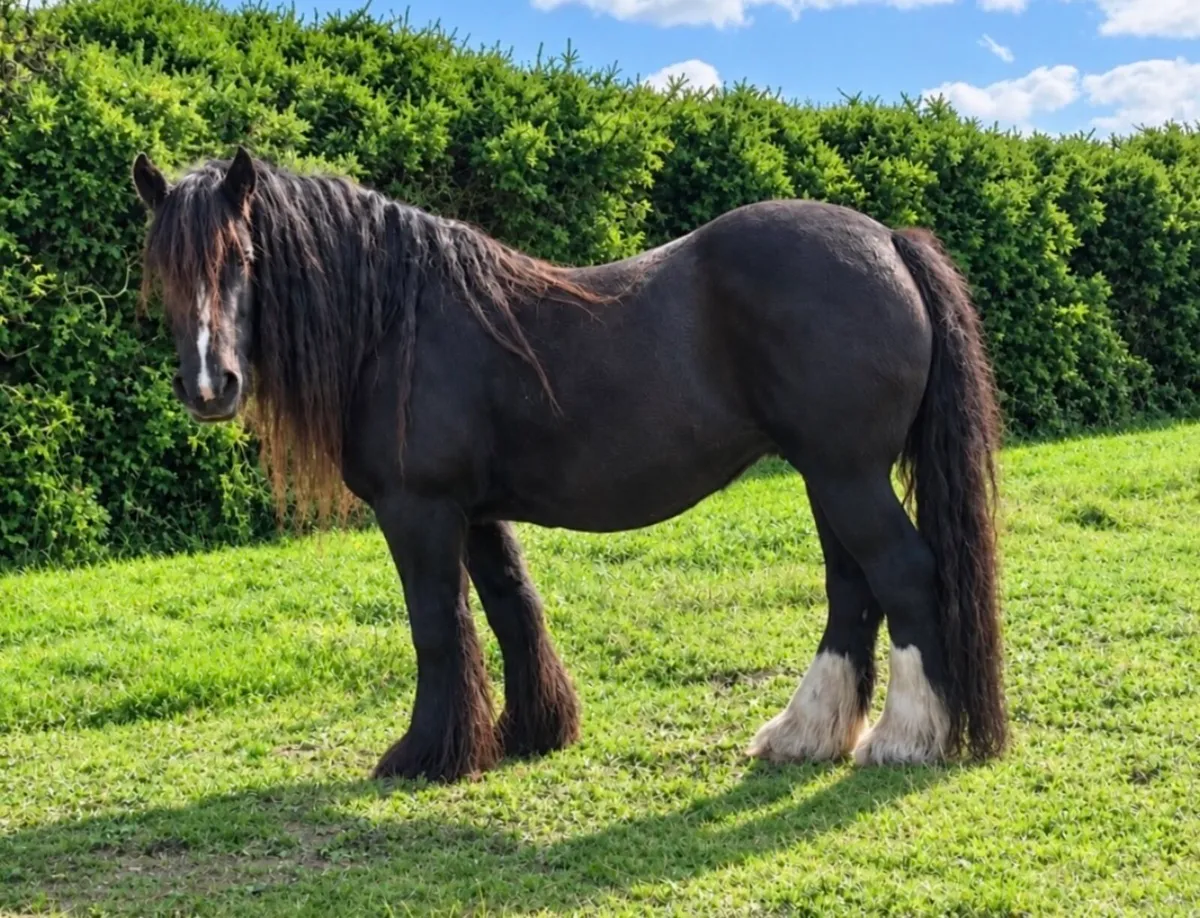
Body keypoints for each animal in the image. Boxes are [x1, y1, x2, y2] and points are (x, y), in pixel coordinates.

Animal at [132, 146, 1006, 783]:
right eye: (164, 270)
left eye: (244, 256)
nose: (210, 386)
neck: (399, 323)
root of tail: (888, 240)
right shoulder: (476, 513)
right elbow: (511, 609)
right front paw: (530, 733)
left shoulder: (420, 511)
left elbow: (438, 628)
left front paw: (426, 756)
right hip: (827, 476)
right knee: (851, 589)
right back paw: (805, 734)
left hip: (846, 473)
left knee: (903, 573)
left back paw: (906, 739)